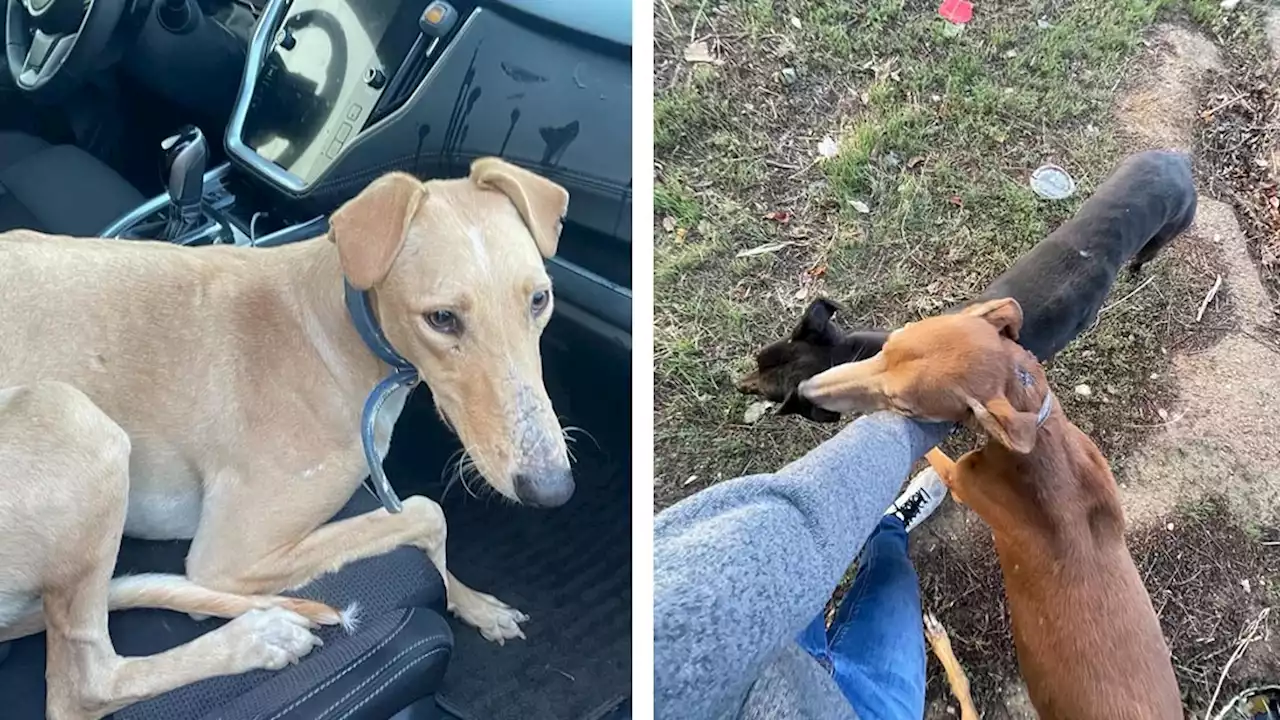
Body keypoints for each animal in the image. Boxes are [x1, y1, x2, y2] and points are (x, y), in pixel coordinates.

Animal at [0, 155, 570, 661]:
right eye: (443, 318)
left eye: (540, 299)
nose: (553, 489)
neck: (333, 327)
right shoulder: (226, 559)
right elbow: (429, 513)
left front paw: (476, 605)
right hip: (77, 424)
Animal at [798, 295, 1177, 717]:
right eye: (887, 344)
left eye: (905, 406)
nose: (805, 389)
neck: (1040, 438)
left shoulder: (962, 479)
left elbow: (934, 456)